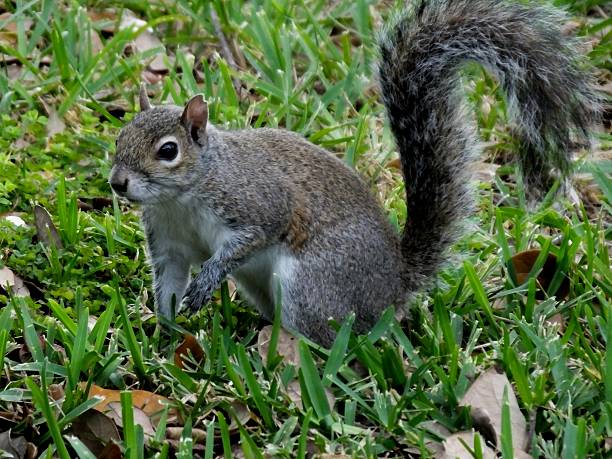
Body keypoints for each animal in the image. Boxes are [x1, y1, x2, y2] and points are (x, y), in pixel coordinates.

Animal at [109, 0, 596, 344]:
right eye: (118, 139)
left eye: (168, 151)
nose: (117, 183)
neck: (180, 198)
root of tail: (393, 288)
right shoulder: (169, 241)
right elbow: (170, 280)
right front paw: (164, 332)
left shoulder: (256, 200)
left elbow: (252, 236)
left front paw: (209, 279)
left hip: (313, 284)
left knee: (328, 338)